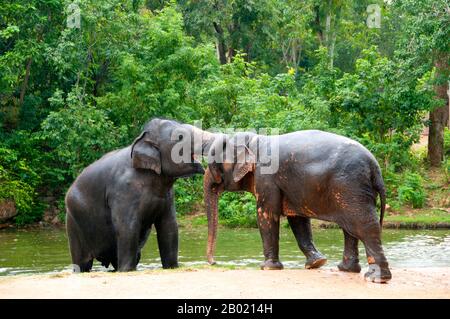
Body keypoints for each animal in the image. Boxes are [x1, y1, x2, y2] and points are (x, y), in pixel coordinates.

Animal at [64, 119, 208, 274]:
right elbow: (128, 228)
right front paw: (126, 271)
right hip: (73, 222)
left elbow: (169, 227)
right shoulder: (123, 191)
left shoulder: (168, 194)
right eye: (180, 137)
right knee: (81, 262)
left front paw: (172, 267)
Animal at [203, 131, 390, 284]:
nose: (214, 262)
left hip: (350, 185)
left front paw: (267, 267)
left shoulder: (266, 177)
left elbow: (266, 214)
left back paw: (376, 278)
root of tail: (375, 167)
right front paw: (316, 263)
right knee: (350, 228)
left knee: (363, 226)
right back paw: (346, 269)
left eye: (214, 165)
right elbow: (298, 219)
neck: (255, 140)